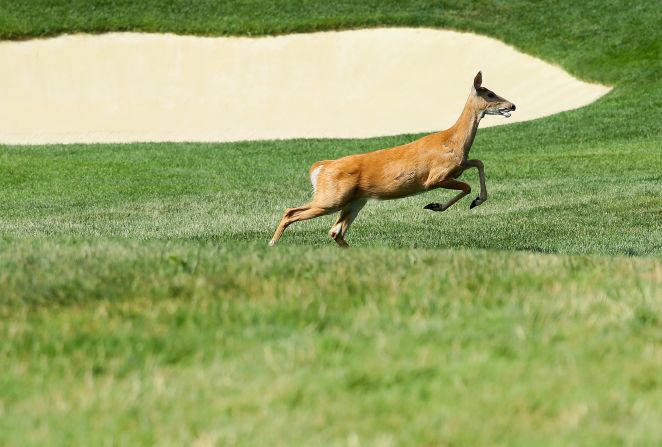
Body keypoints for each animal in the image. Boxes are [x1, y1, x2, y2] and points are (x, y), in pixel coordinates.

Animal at [270, 72, 520, 248]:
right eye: (490, 94)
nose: (512, 105)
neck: (453, 141)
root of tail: (320, 167)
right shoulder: (435, 177)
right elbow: (466, 186)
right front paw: (436, 205)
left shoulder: (458, 166)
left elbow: (479, 162)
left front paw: (477, 200)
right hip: (331, 198)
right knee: (291, 212)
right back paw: (272, 244)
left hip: (354, 201)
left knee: (335, 231)